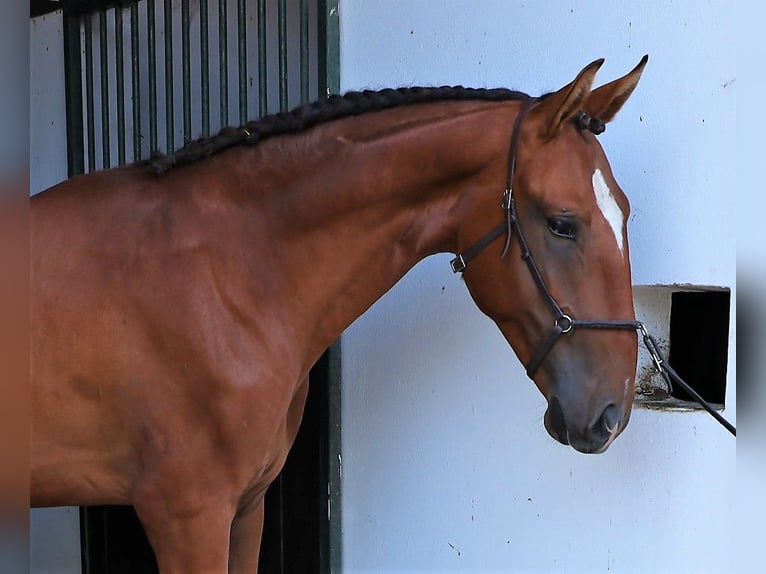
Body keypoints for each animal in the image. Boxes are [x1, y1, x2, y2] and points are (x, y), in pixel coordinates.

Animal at [33, 55, 652, 574]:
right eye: (562, 224)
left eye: (623, 212)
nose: (613, 414)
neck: (226, 272)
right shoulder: (187, 516)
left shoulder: (246, 508)